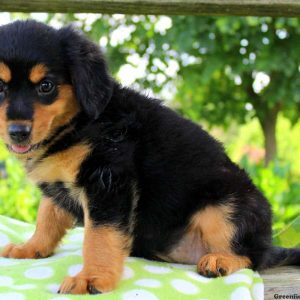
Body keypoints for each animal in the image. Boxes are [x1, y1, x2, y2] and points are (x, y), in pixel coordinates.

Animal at [0, 21, 298, 296]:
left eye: (46, 86)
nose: (18, 133)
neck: (78, 125)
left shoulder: (108, 182)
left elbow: (99, 236)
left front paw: (92, 278)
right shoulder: (58, 186)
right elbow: (46, 220)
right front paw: (31, 248)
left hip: (226, 207)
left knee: (252, 257)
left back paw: (220, 260)